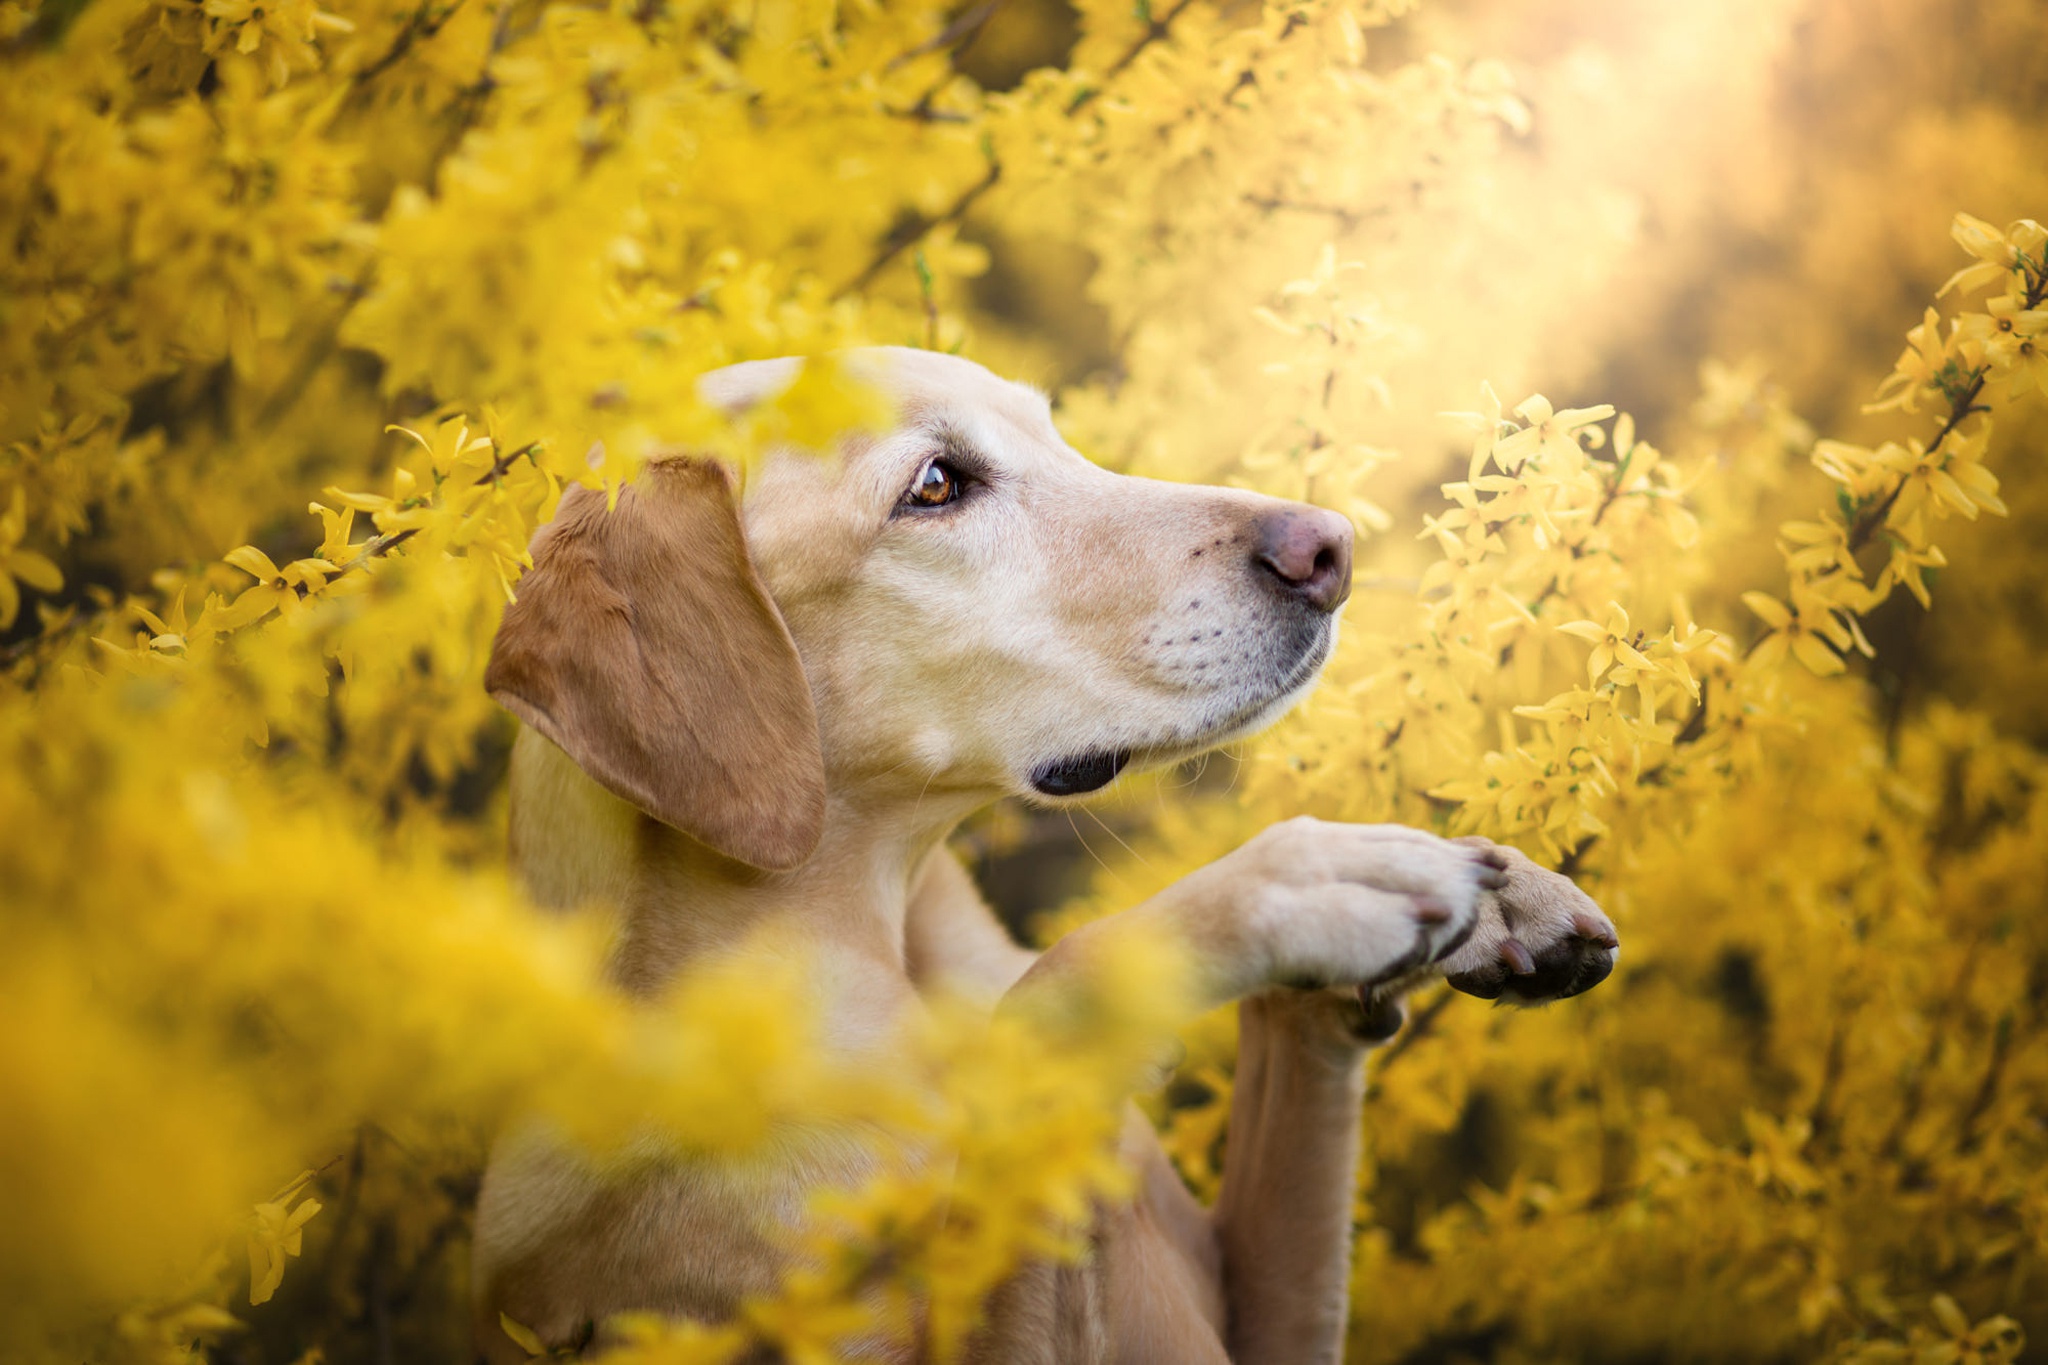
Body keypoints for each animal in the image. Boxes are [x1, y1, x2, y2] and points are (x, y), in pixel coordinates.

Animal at [475, 349, 1613, 1365]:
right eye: (936, 485)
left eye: (1054, 434)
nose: (1330, 546)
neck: (896, 953)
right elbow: (1053, 994)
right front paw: (1294, 882)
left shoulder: (1269, 1314)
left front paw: (1490, 897)